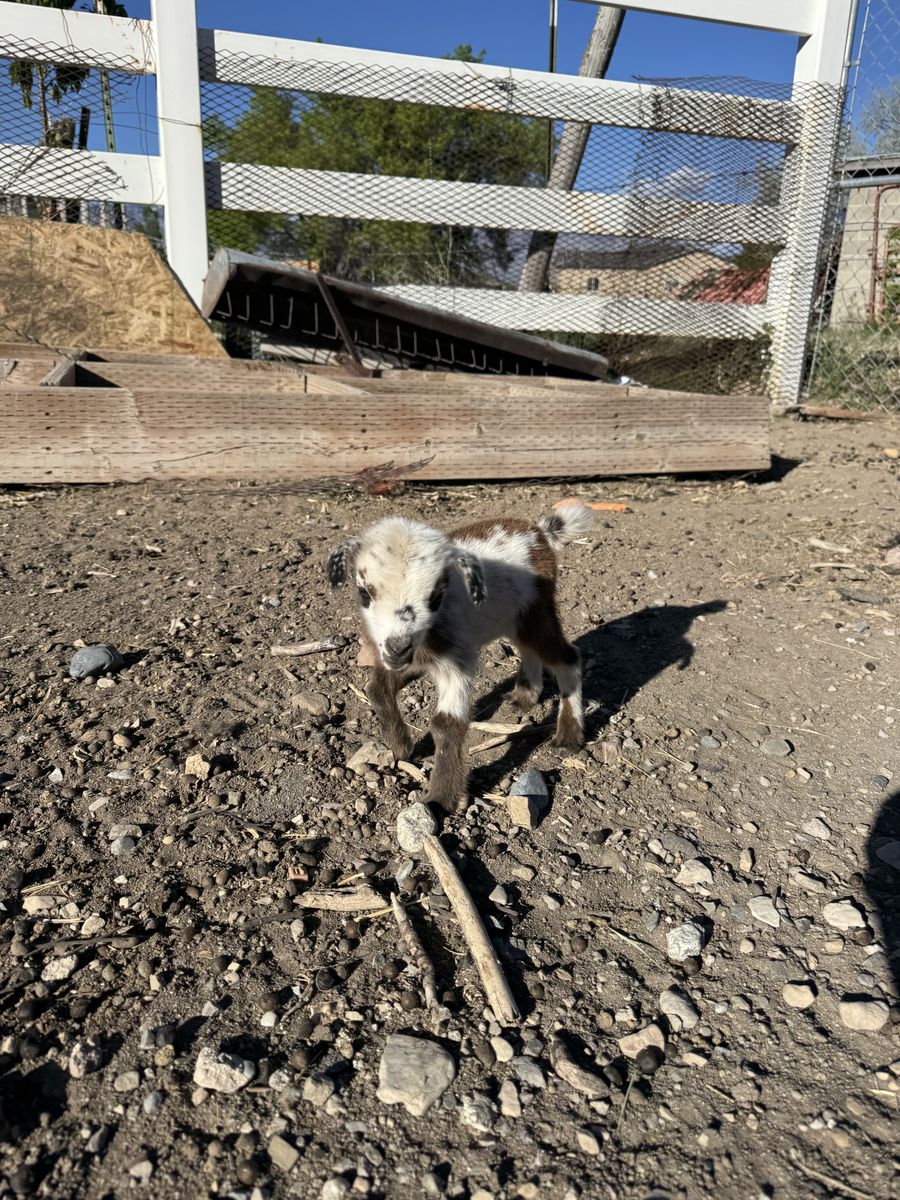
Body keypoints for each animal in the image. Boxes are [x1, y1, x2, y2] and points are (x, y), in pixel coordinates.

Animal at [327, 502, 592, 813]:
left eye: (435, 597)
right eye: (364, 592)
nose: (398, 646)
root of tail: (539, 532)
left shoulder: (456, 661)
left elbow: (446, 724)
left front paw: (439, 800)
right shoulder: (409, 656)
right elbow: (377, 687)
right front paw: (400, 746)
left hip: (536, 609)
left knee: (567, 656)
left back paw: (567, 737)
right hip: (516, 617)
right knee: (528, 649)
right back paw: (524, 696)